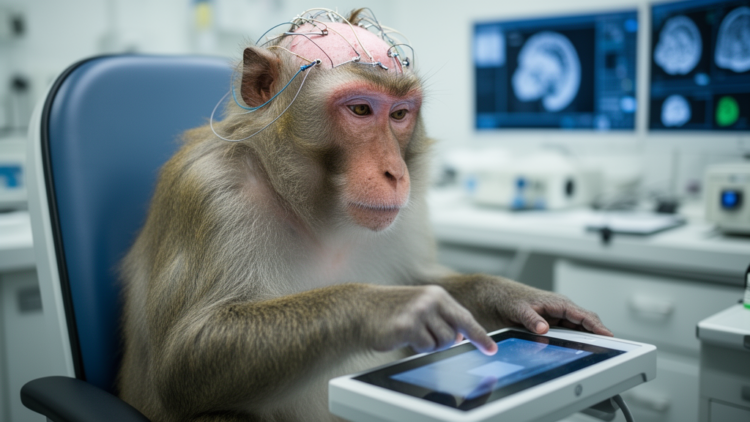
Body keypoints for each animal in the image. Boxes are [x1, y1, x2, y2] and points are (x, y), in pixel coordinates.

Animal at [117, 9, 612, 422]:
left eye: (399, 114)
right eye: (359, 109)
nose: (395, 172)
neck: (313, 212)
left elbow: (422, 276)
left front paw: (518, 297)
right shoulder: (211, 192)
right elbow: (185, 358)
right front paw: (383, 306)